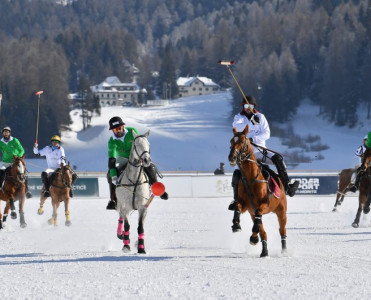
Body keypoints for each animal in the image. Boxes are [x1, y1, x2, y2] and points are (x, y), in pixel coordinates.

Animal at [228, 125, 290, 256]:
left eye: (242, 141)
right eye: (231, 141)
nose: (232, 157)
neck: (251, 179)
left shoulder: (264, 205)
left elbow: (259, 214)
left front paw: (253, 237)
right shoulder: (247, 206)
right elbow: (238, 207)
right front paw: (236, 225)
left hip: (281, 211)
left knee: (282, 231)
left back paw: (284, 251)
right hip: (253, 213)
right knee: (263, 231)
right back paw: (264, 252)